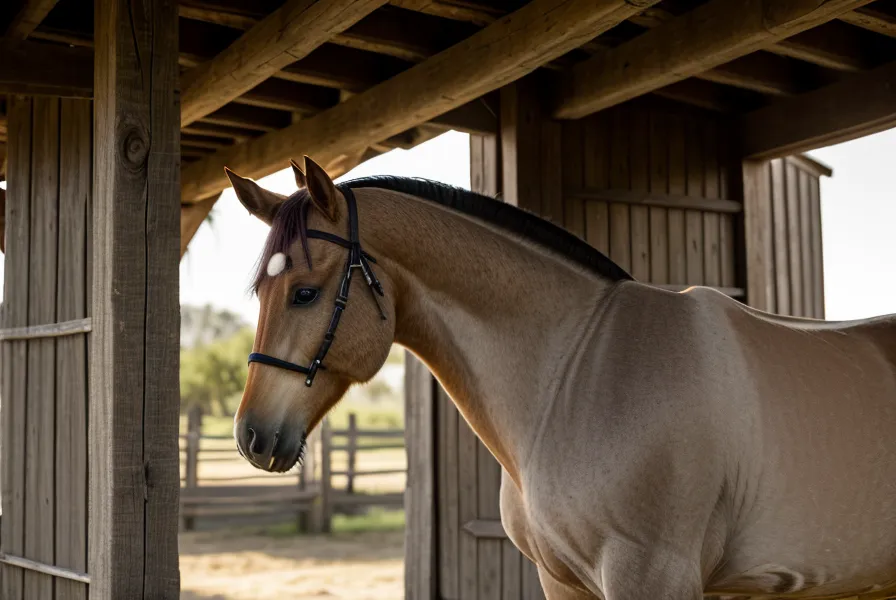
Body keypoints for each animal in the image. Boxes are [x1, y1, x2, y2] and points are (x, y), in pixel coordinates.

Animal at [225, 156, 896, 600]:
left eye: (305, 293)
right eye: (260, 291)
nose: (252, 436)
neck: (576, 371)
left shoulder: (651, 577)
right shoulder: (563, 582)